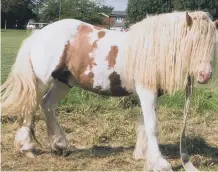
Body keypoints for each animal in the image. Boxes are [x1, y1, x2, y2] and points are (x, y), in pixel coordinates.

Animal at [1, 11, 218, 171]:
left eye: (213, 44)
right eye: (193, 42)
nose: (205, 75)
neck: (153, 48)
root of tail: (38, 34)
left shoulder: (149, 94)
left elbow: (143, 125)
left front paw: (142, 156)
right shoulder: (146, 91)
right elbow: (152, 126)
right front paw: (160, 163)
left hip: (64, 82)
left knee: (47, 105)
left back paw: (59, 145)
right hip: (41, 80)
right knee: (30, 107)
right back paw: (27, 148)